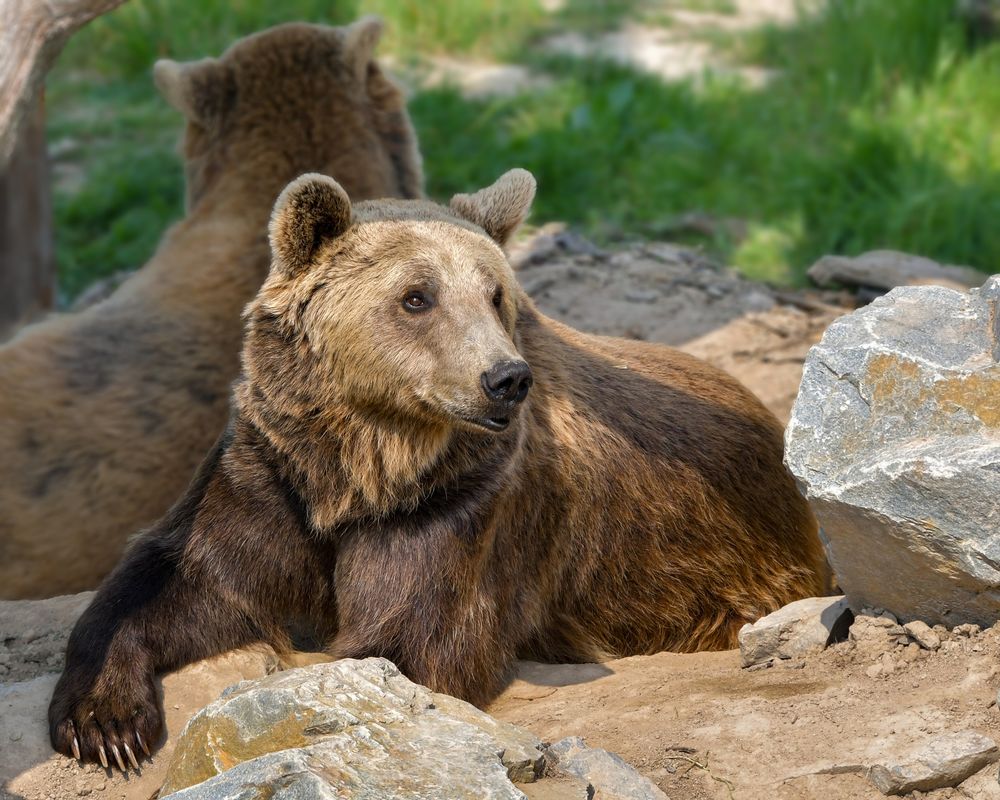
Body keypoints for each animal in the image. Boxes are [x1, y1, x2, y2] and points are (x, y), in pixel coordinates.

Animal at [49, 169, 825, 771]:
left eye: (494, 294)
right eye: (416, 296)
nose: (505, 379)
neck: (361, 466)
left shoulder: (458, 504)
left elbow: (407, 640)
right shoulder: (271, 475)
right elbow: (186, 576)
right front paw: (103, 724)